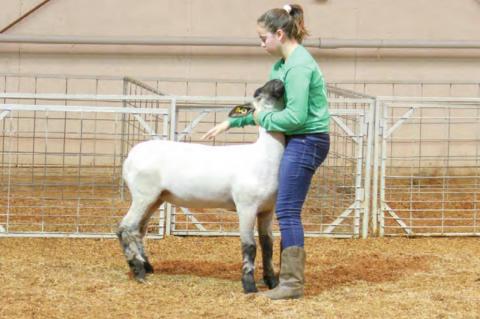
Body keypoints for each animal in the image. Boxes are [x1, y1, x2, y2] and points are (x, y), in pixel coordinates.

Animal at [116, 79, 284, 294]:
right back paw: (138, 272)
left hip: (156, 197)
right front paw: (249, 286)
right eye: (258, 93)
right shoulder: (246, 206)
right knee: (126, 228)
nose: (278, 82)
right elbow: (250, 246)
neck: (264, 156)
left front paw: (272, 282)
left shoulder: (267, 209)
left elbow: (268, 244)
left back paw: (147, 266)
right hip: (143, 194)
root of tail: (131, 155)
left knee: (138, 229)